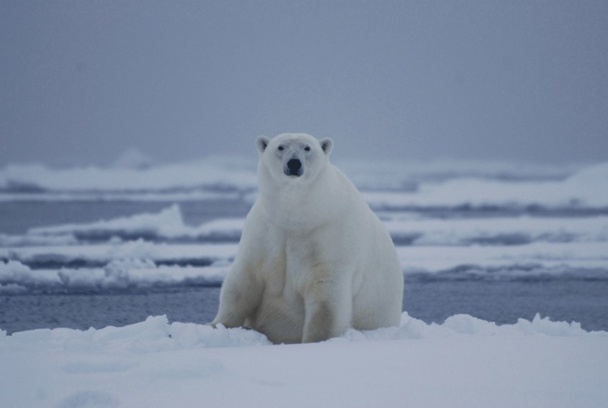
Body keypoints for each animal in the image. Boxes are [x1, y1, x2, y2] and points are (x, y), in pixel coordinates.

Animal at [213, 135, 404, 344]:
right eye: (281, 147)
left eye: (307, 148)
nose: (294, 163)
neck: (297, 217)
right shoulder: (265, 232)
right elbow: (242, 282)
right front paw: (216, 326)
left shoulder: (329, 237)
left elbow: (326, 299)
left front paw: (313, 342)